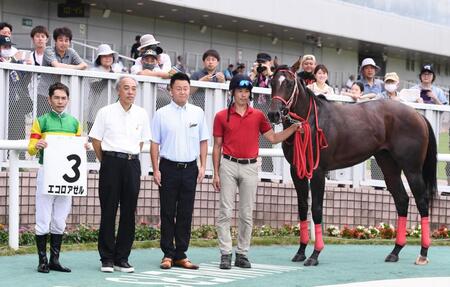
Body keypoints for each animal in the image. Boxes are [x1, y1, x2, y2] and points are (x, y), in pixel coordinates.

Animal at [268, 66, 436, 268]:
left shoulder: (318, 172)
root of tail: (418, 115)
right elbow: (302, 208)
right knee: (402, 200)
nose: (273, 114)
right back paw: (395, 251)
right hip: (389, 166)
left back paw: (423, 254)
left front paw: (315, 255)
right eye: (272, 82)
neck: (311, 121)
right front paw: (300, 252)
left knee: (422, 202)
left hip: (412, 170)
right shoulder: (297, 171)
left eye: (289, 83)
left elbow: (316, 209)